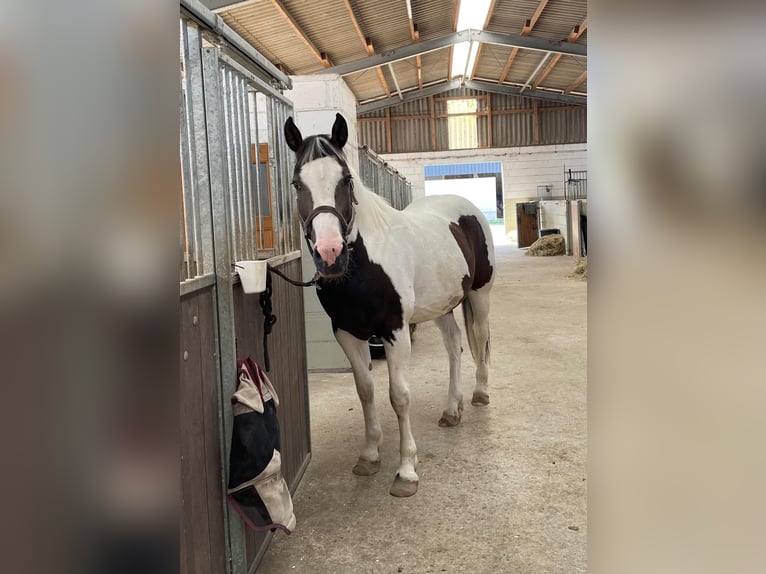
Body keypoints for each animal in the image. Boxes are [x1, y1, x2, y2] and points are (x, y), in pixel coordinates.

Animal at [284, 113, 495, 497]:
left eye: (346, 179)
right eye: (296, 183)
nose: (329, 254)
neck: (365, 264)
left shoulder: (396, 331)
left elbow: (399, 396)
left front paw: (407, 470)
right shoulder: (347, 333)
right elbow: (366, 390)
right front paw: (369, 456)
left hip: (480, 295)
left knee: (480, 339)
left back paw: (480, 394)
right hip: (440, 306)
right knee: (454, 346)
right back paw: (451, 410)